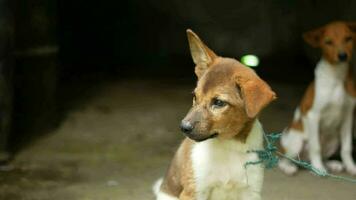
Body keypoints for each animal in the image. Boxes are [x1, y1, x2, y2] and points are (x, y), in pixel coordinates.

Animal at [153, 29, 276, 200]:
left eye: (218, 102)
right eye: (195, 96)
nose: (183, 127)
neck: (228, 146)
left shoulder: (251, 191)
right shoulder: (194, 191)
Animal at [280, 21, 356, 175]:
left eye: (348, 39)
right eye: (328, 42)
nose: (342, 56)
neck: (337, 76)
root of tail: (303, 160)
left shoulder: (348, 115)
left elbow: (347, 148)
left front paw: (351, 166)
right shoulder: (313, 115)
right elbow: (316, 147)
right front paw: (318, 168)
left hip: (334, 141)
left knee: (320, 156)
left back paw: (331, 164)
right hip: (296, 142)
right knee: (284, 159)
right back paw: (290, 168)